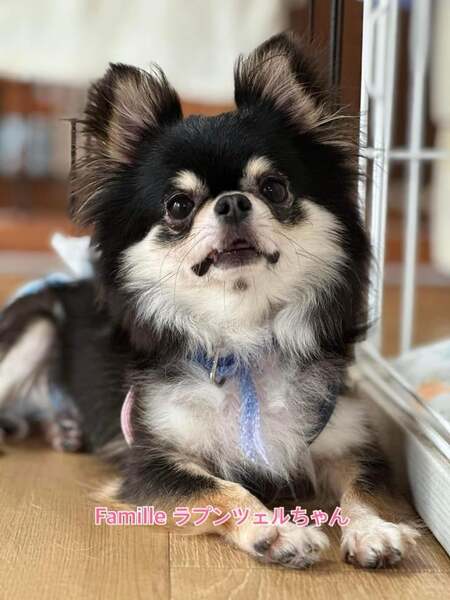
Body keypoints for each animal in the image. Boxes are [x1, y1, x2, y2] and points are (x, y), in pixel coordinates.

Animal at [0, 32, 418, 569]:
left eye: (274, 187)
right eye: (179, 205)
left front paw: (374, 530)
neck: (245, 336)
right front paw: (276, 530)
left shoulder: (347, 439)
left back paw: (65, 429)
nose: (233, 201)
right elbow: (223, 489)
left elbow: (365, 488)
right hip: (37, 328)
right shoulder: (153, 461)